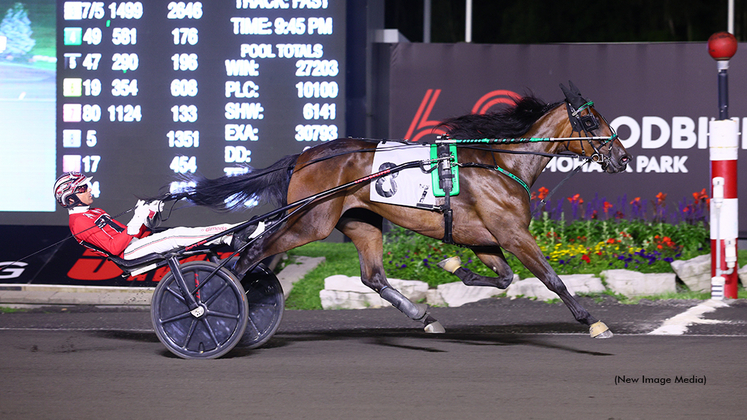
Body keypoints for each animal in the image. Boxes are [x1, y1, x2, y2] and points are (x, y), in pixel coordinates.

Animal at [183, 82, 632, 338]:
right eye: (591, 121)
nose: (623, 157)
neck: (501, 164)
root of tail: (305, 155)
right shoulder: (512, 233)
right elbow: (551, 279)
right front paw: (592, 321)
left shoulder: (486, 239)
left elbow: (503, 278)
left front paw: (454, 267)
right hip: (309, 221)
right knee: (248, 254)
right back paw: (208, 307)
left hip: (360, 221)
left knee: (373, 276)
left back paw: (424, 316)